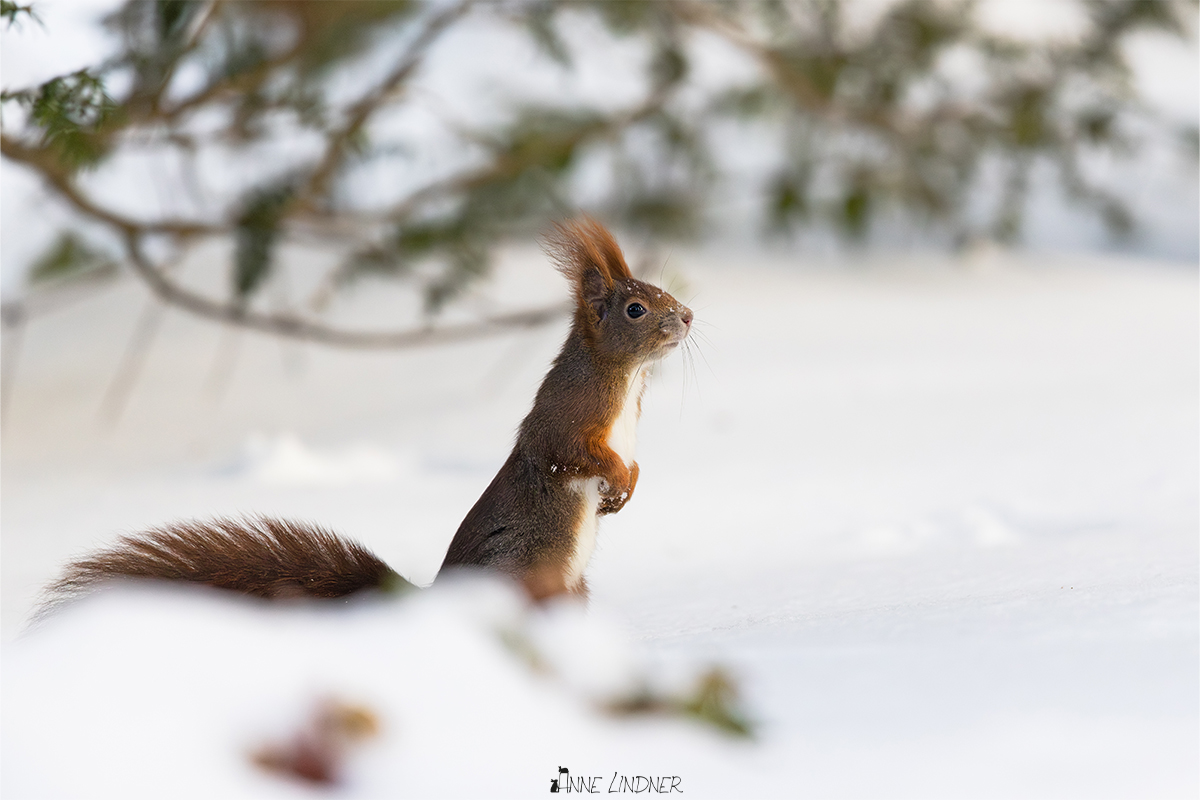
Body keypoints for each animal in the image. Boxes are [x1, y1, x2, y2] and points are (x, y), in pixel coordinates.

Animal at [40, 219, 692, 611]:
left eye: (660, 293)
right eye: (636, 308)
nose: (686, 316)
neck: (624, 377)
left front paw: (627, 487)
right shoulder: (565, 418)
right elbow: (570, 453)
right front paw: (616, 479)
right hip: (527, 573)